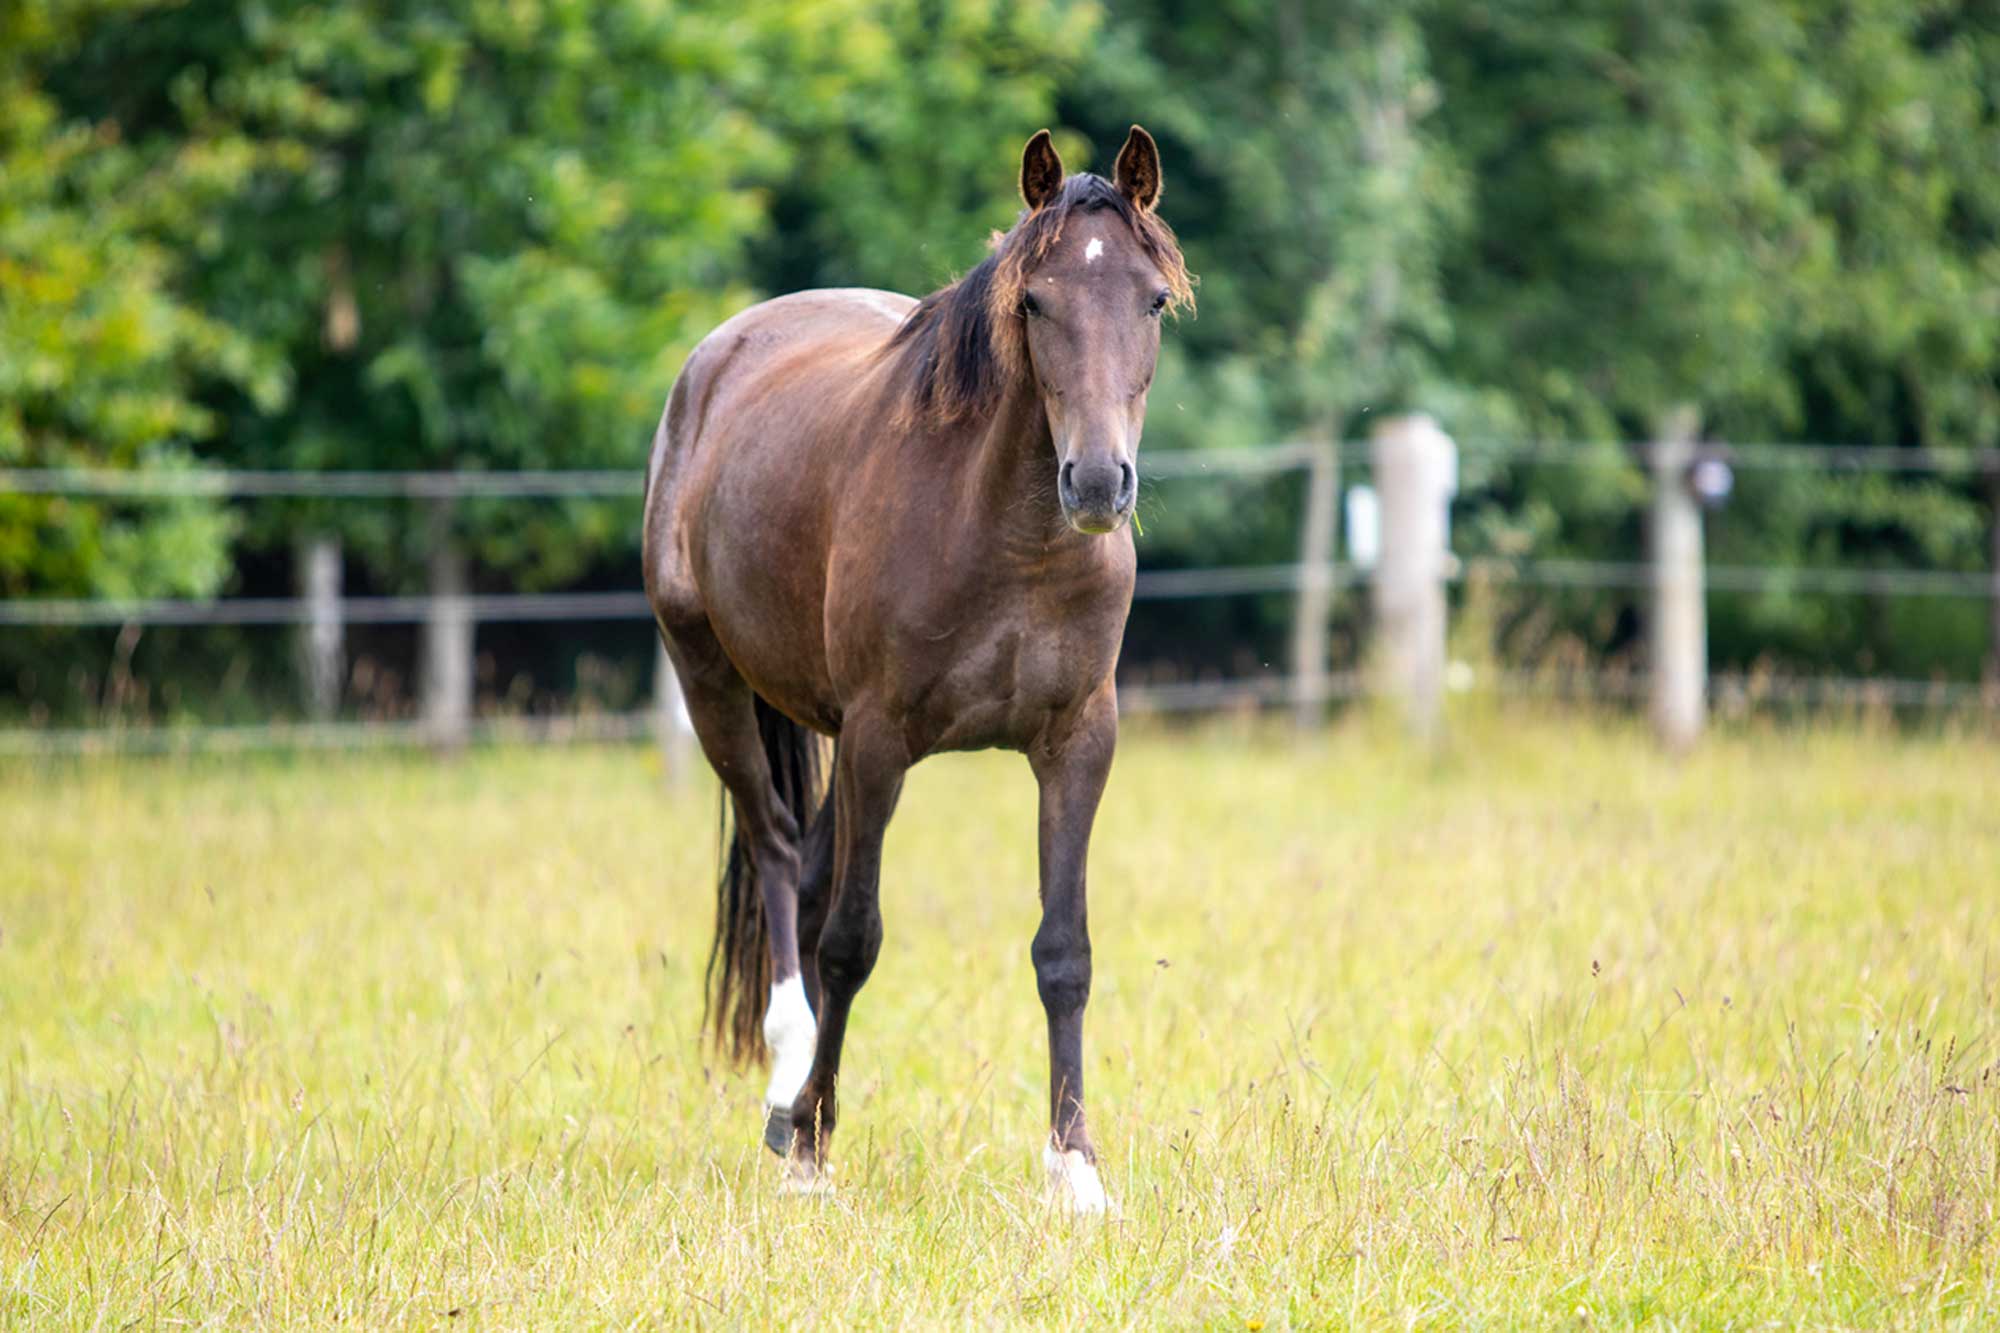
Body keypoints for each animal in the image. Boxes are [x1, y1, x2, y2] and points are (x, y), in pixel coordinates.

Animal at [643, 126, 1193, 1213]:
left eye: (1152, 300)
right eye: (1035, 303)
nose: (1096, 482)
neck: (1005, 537)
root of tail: (717, 356)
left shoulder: (1078, 740)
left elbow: (1063, 950)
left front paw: (1074, 1168)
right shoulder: (876, 739)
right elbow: (852, 938)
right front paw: (815, 1148)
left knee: (808, 869)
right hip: (712, 682)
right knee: (779, 860)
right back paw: (788, 1086)